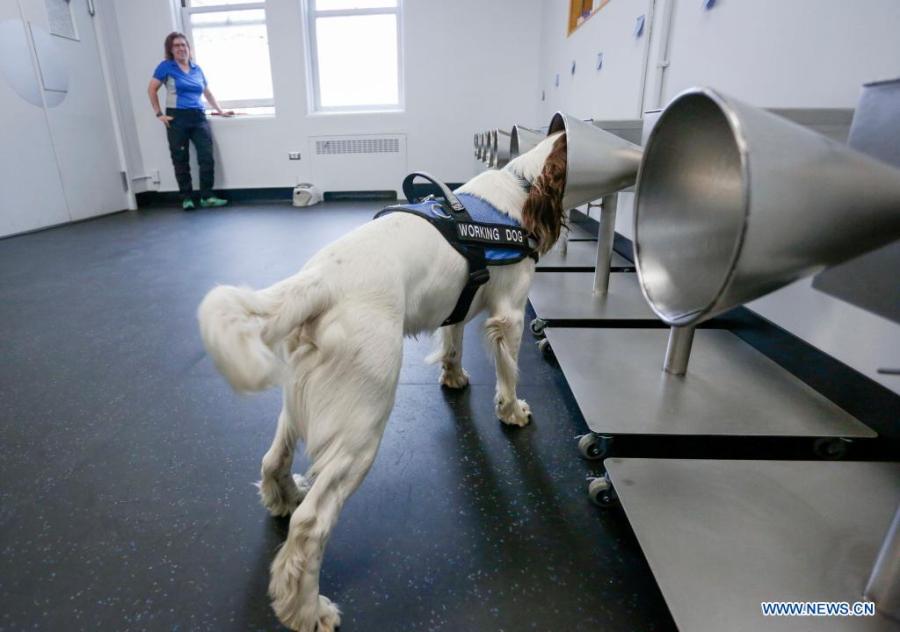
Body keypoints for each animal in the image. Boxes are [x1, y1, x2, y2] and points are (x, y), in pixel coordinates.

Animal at [197, 132, 567, 631]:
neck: (518, 186)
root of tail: (319, 282)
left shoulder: (459, 304)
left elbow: (452, 342)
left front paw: (453, 377)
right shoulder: (508, 314)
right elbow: (508, 374)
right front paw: (512, 412)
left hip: (301, 400)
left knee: (272, 461)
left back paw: (285, 497)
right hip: (362, 426)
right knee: (311, 526)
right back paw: (307, 610)